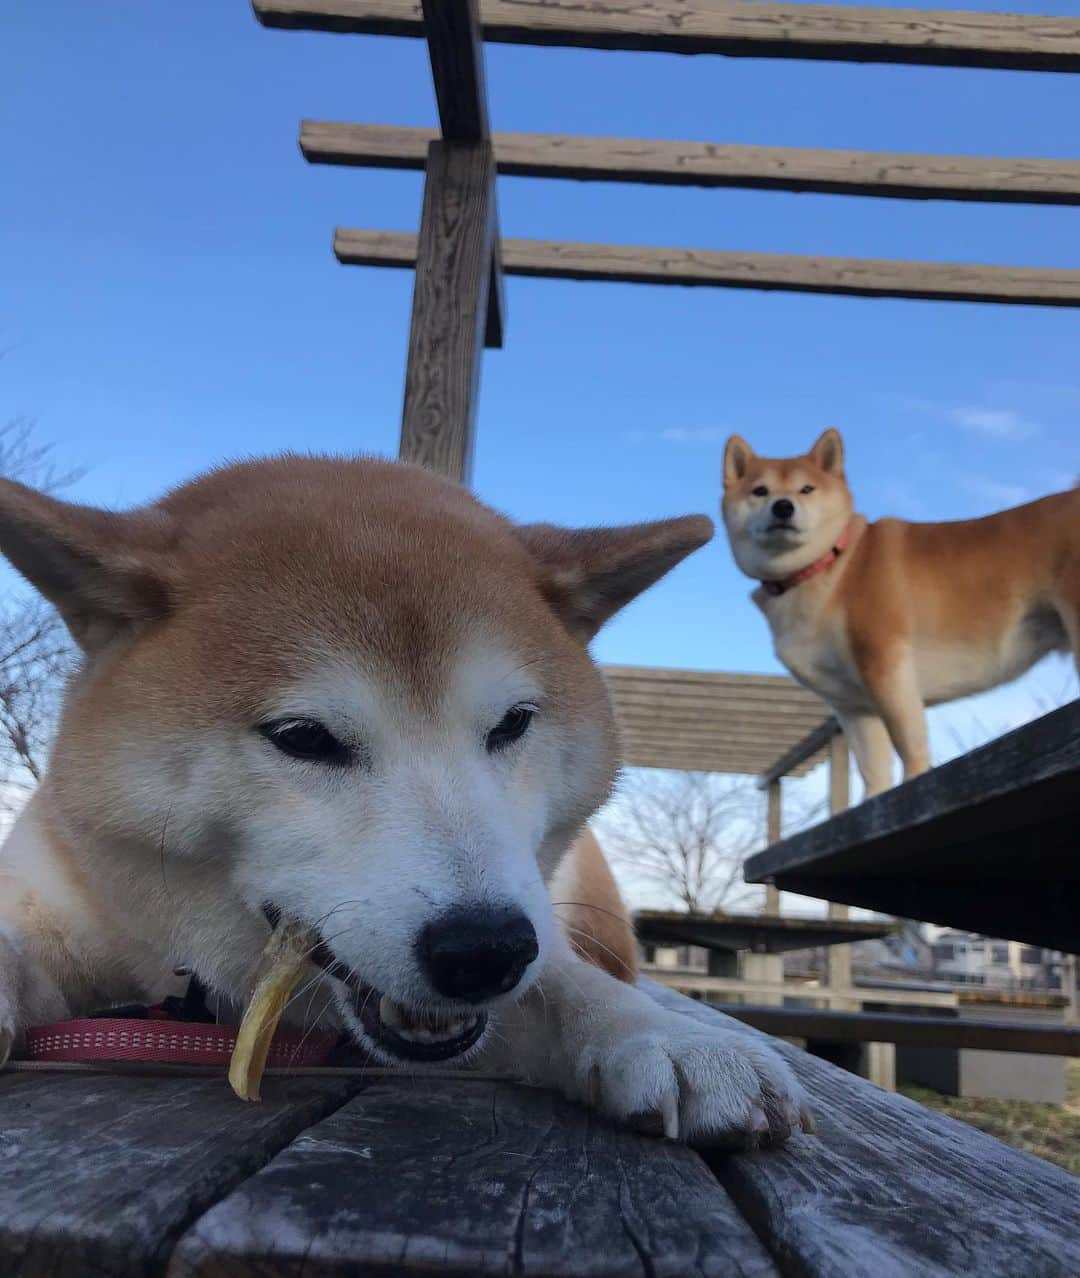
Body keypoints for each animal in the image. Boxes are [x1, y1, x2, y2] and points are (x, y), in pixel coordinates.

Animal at [0, 460, 807, 1150]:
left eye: (512, 722)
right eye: (303, 737)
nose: (484, 950)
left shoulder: (531, 937)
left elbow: (561, 981)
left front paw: (673, 1039)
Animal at [720, 426, 1073, 797]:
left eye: (806, 489)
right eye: (760, 491)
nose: (783, 506)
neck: (831, 568)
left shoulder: (888, 668)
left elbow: (909, 745)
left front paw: (915, 782)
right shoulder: (854, 708)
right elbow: (873, 772)